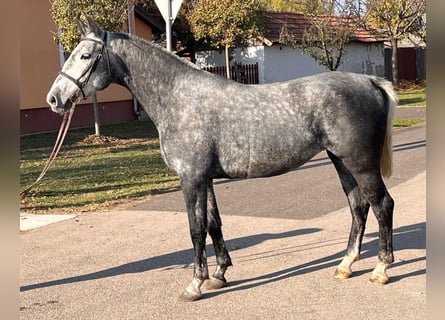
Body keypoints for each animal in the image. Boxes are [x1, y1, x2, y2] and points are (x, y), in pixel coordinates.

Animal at [46, 16, 398, 302]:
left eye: (85, 55)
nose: (54, 99)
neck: (179, 98)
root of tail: (371, 82)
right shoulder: (206, 178)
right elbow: (214, 223)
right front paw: (219, 274)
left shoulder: (191, 178)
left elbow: (196, 228)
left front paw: (195, 284)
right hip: (340, 161)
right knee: (358, 206)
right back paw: (345, 264)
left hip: (361, 164)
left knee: (382, 204)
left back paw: (380, 269)